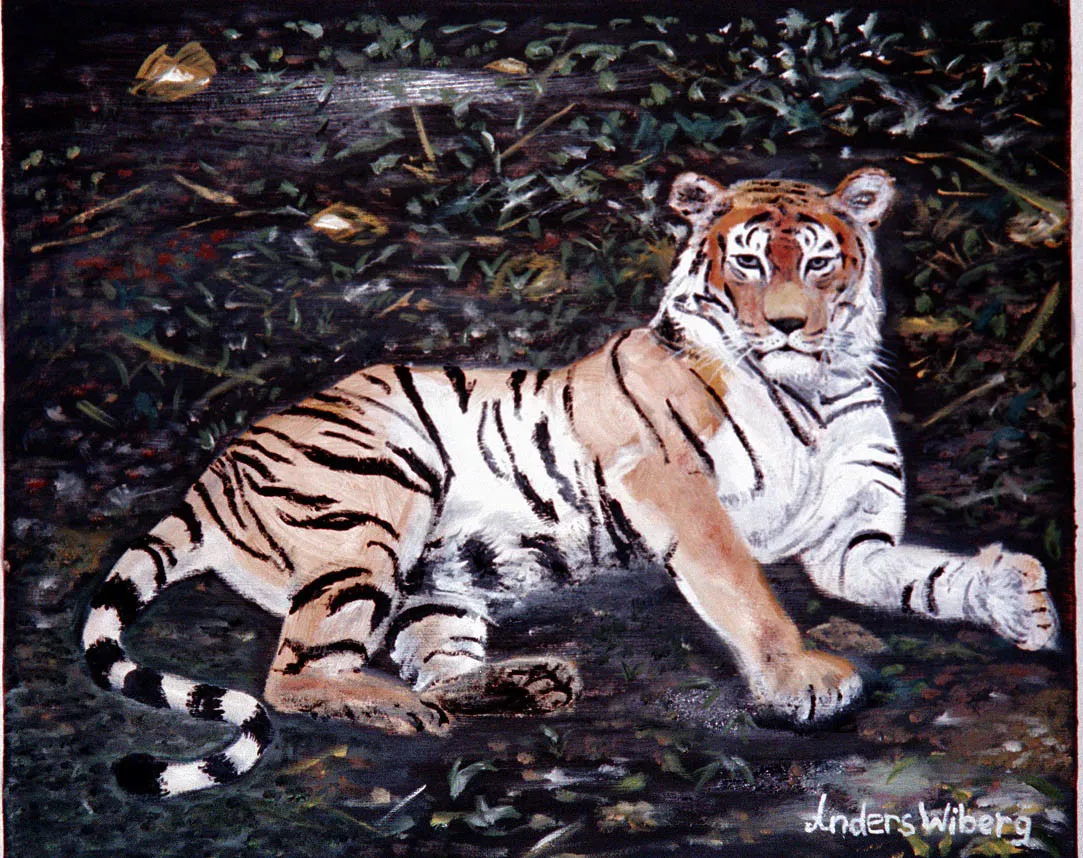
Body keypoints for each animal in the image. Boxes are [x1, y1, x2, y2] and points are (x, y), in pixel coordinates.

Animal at [81, 166, 1059, 797]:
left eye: (820, 261)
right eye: (746, 261)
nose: (787, 326)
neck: (814, 386)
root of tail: (212, 469)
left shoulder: (851, 541)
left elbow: (923, 575)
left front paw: (1020, 599)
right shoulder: (674, 484)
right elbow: (745, 590)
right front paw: (801, 681)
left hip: (435, 584)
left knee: (428, 664)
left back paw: (526, 684)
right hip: (372, 498)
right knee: (296, 673)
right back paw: (397, 712)